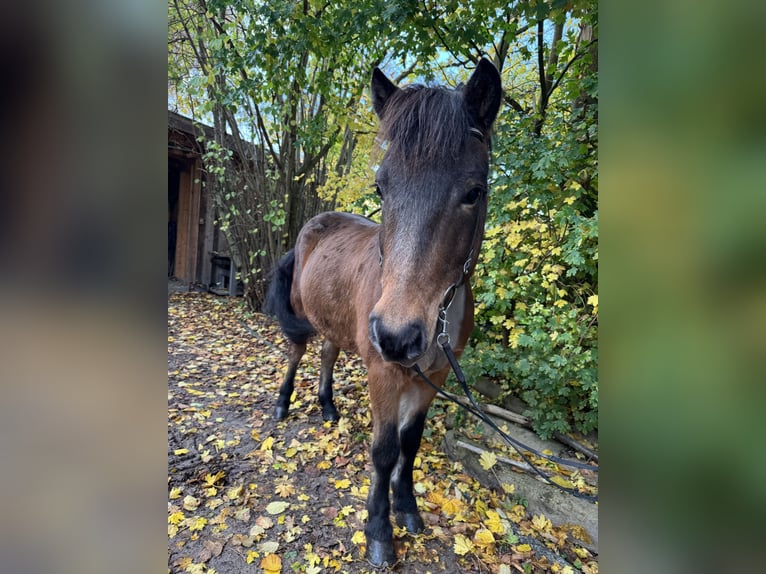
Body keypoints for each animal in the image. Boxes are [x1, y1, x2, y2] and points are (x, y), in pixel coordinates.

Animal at [264, 58, 502, 567]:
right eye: (380, 186)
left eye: (474, 192)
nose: (397, 336)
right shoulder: (384, 371)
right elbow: (385, 450)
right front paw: (378, 530)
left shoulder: (435, 378)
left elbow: (410, 444)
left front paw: (408, 509)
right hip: (302, 314)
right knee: (297, 352)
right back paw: (283, 403)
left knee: (328, 353)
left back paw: (327, 406)